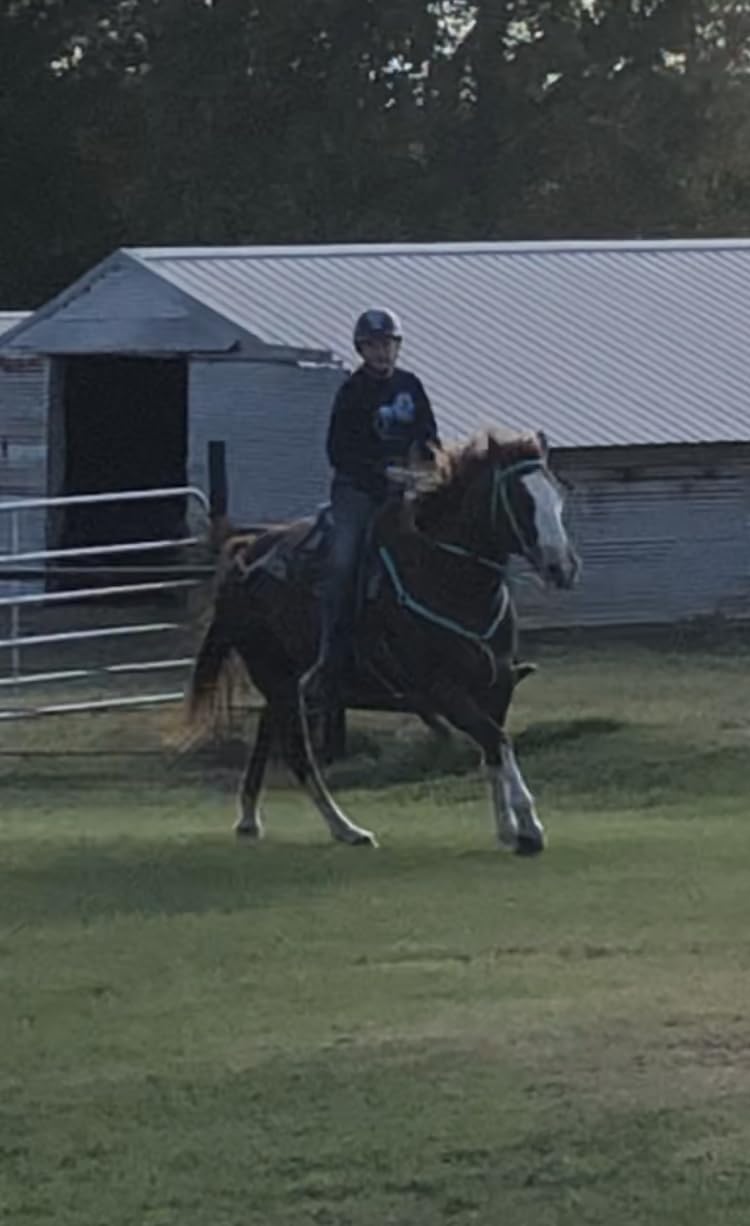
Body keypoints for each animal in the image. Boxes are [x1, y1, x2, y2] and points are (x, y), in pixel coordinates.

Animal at [187, 429, 579, 854]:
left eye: (557, 494)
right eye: (522, 501)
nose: (563, 567)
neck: (446, 575)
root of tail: (243, 557)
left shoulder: (498, 683)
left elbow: (493, 748)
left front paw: (509, 828)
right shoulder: (441, 689)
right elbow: (497, 739)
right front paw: (529, 826)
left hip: (283, 681)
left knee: (267, 734)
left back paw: (249, 818)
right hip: (274, 674)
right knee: (298, 753)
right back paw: (346, 829)